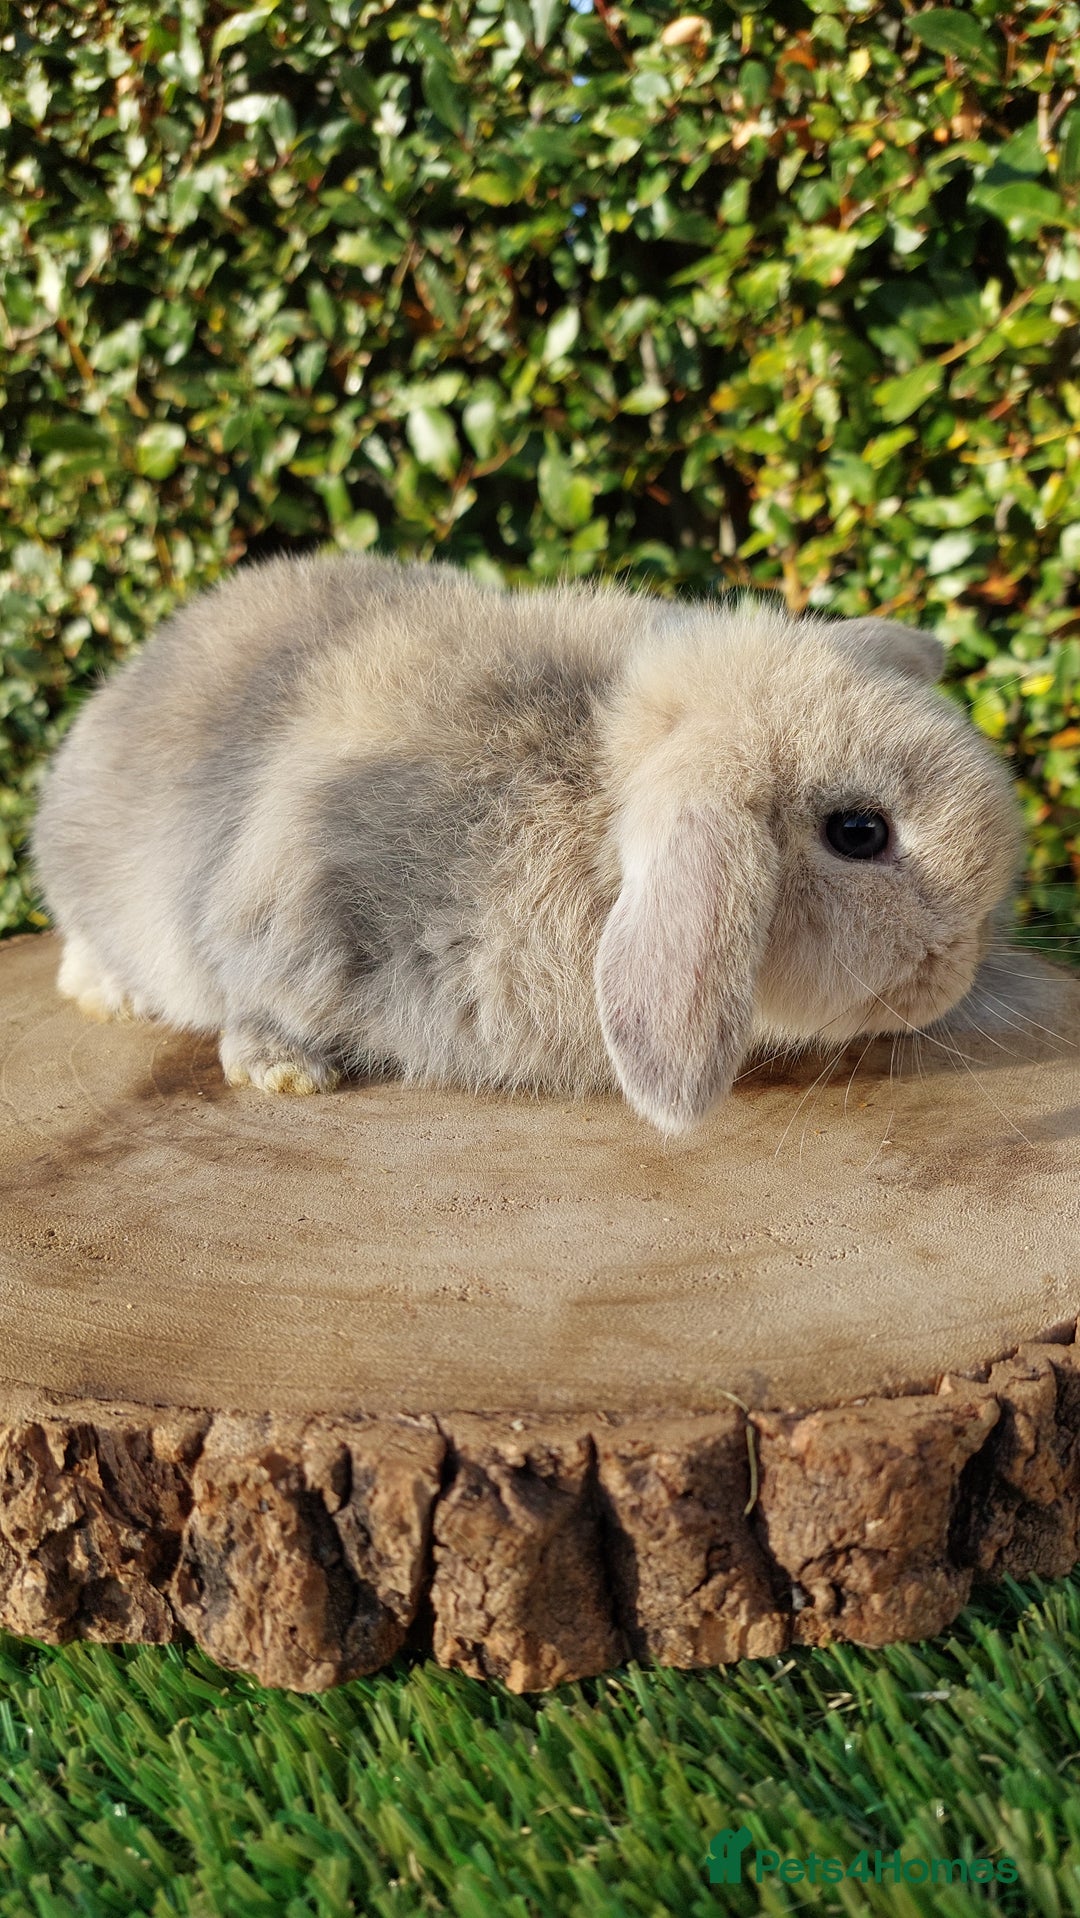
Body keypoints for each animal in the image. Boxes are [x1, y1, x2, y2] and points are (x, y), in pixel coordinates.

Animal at [32, 552, 1023, 1135]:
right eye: (859, 832)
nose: (959, 968)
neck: (587, 791)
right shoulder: (287, 903)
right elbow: (254, 995)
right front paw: (285, 1075)